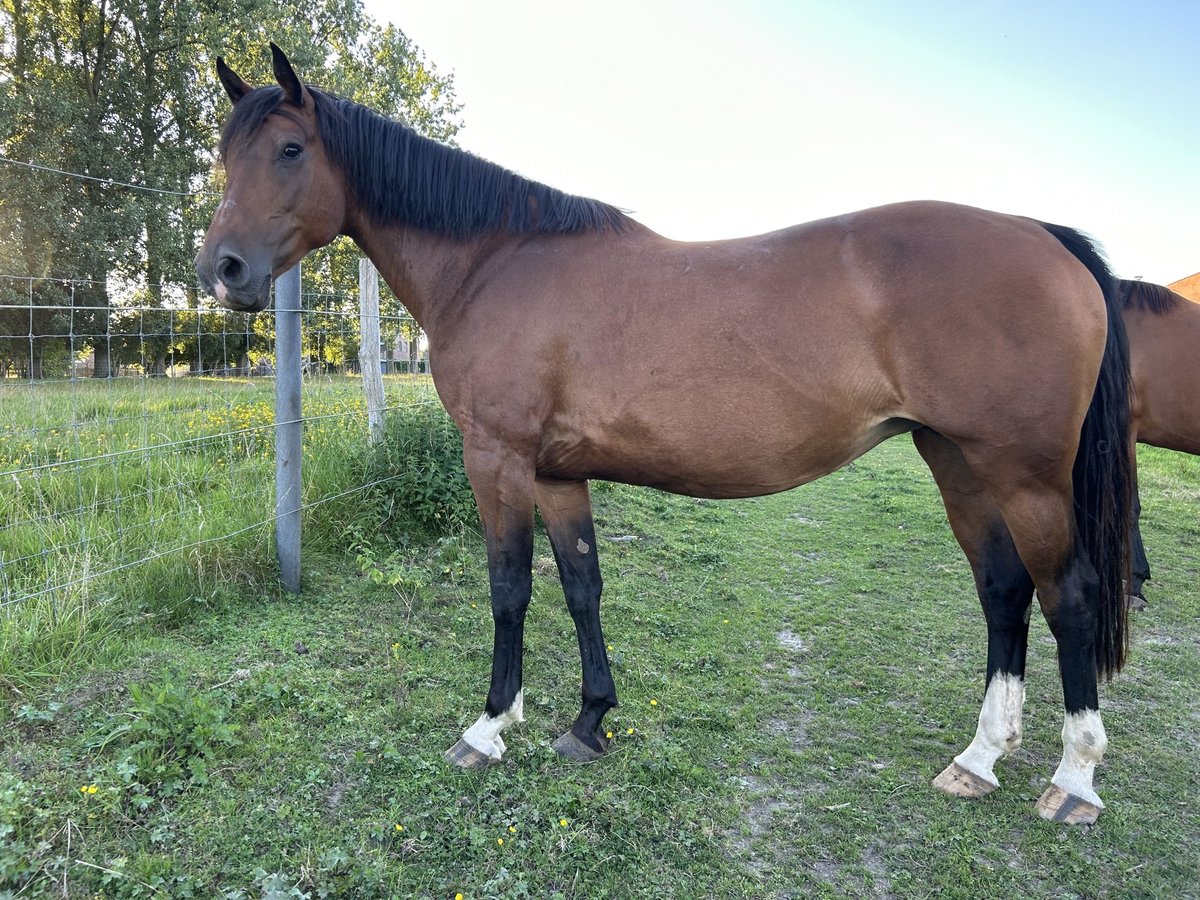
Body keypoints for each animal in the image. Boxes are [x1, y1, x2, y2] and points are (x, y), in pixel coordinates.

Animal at [194, 47, 1132, 825]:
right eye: (226, 156)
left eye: (289, 150)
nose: (223, 271)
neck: (497, 261)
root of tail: (1047, 238)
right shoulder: (556, 473)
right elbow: (581, 586)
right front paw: (588, 721)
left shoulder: (497, 460)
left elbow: (509, 589)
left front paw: (489, 726)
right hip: (958, 461)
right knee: (1004, 591)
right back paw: (978, 758)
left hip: (1023, 476)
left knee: (1069, 595)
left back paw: (1073, 781)